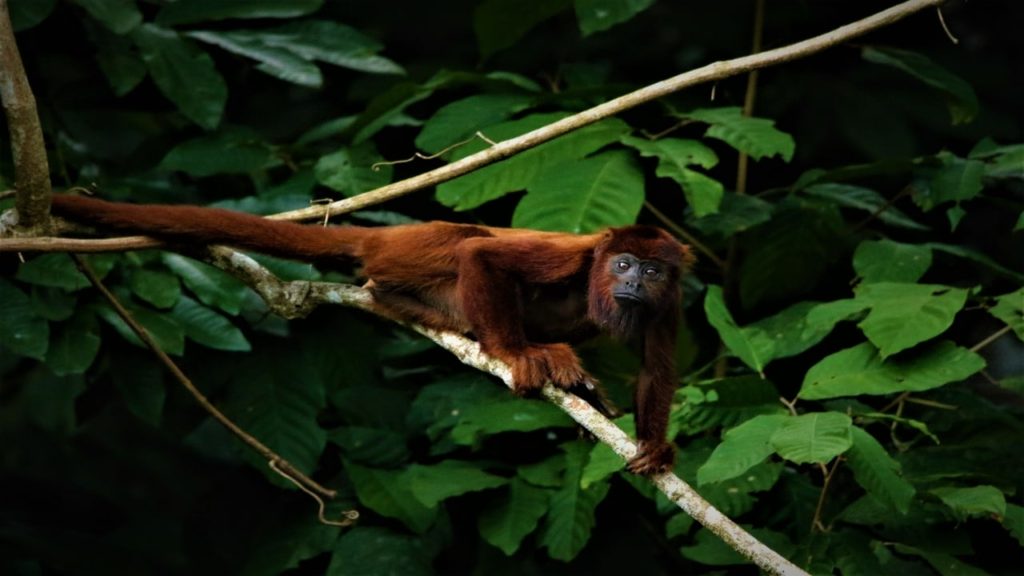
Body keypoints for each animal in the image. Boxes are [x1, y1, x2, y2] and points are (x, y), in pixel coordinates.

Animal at [49, 192, 696, 471]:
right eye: (621, 263)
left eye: (652, 270)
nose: (632, 280)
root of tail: (388, 236)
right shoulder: (574, 254)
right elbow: (485, 256)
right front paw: (513, 352)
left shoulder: (672, 304)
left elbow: (656, 369)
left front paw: (654, 445)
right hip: (423, 245)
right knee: (467, 242)